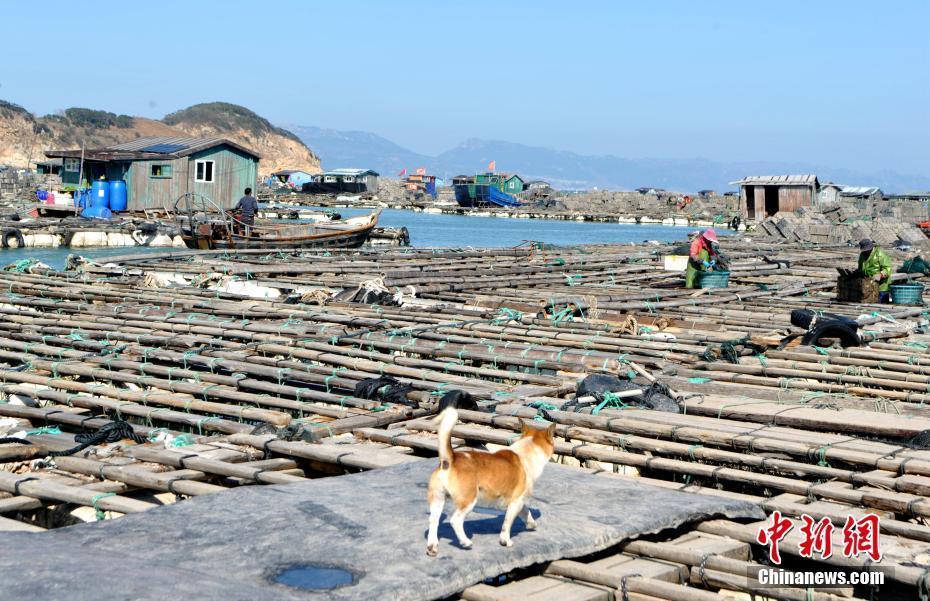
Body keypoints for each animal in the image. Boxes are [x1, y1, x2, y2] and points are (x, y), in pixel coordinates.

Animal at [426, 404, 552, 552]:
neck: (526, 450)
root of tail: (450, 460)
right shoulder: (515, 502)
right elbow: (507, 524)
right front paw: (505, 541)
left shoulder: (518, 501)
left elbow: (526, 511)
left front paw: (531, 523)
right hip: (469, 500)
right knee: (455, 521)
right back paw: (465, 542)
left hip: (437, 500)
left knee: (433, 521)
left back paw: (432, 546)